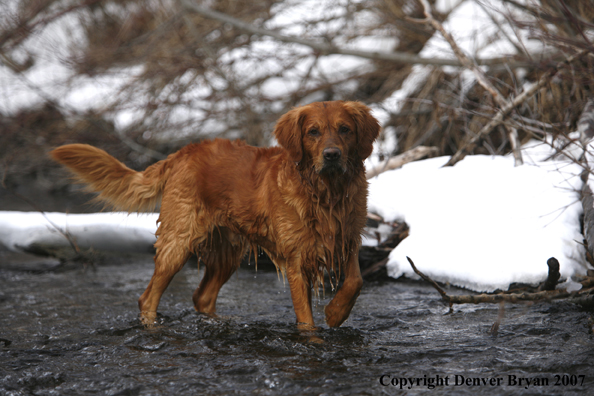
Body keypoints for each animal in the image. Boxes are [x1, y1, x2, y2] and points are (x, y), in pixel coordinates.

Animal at [54, 100, 380, 328]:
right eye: (313, 132)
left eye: (345, 129)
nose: (332, 155)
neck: (327, 194)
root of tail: (180, 153)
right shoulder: (297, 259)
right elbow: (306, 320)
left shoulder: (347, 240)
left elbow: (356, 281)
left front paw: (335, 313)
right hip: (177, 242)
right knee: (148, 297)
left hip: (227, 252)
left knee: (202, 296)